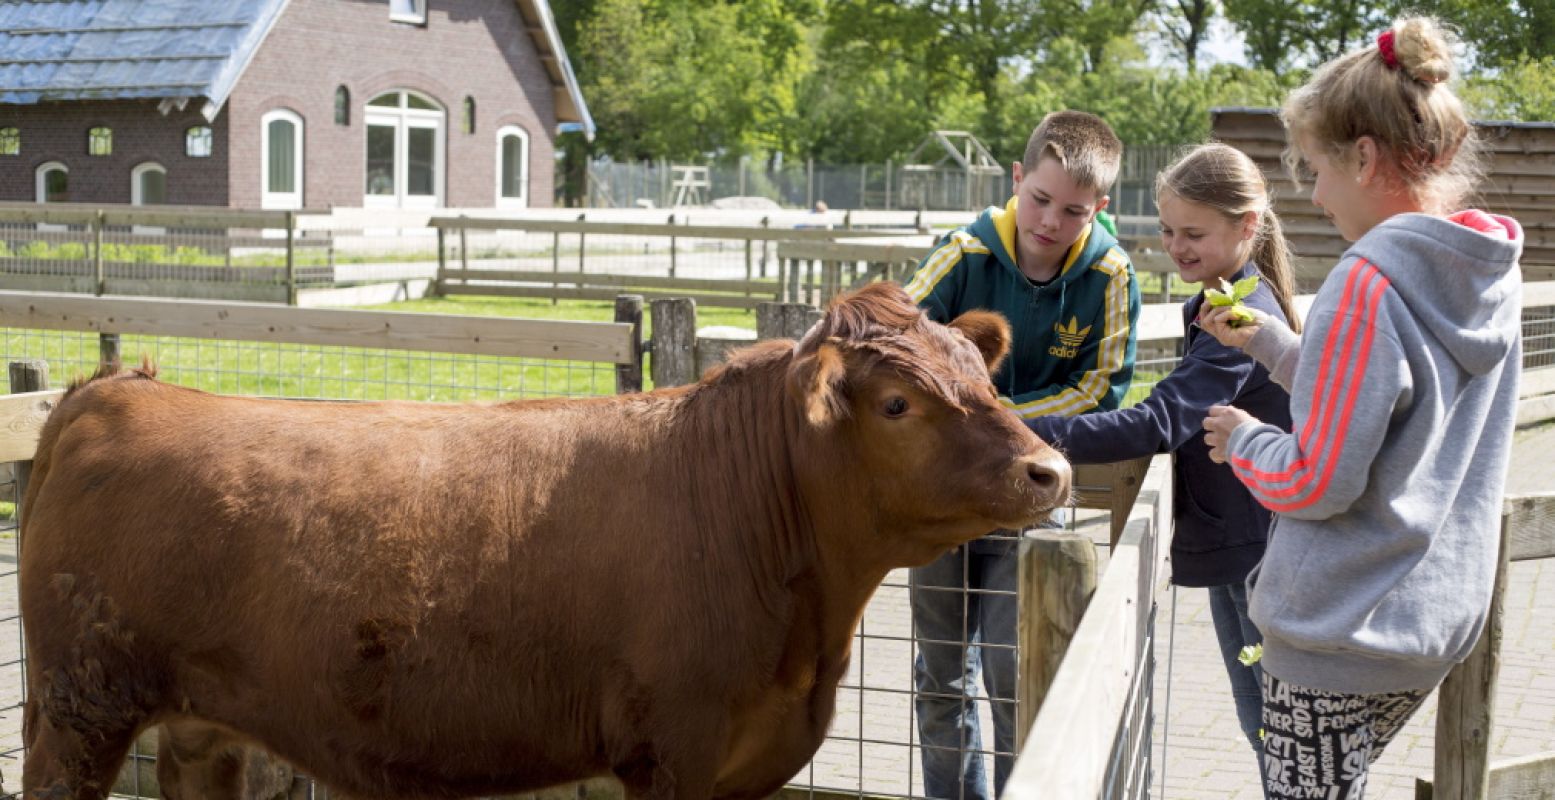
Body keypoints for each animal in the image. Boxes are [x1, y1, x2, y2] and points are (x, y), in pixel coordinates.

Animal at [21, 281, 1069, 796]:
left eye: (982, 373)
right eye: (895, 403)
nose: (1048, 470)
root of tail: (117, 390)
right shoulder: (670, 754)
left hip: (196, 725)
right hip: (81, 708)